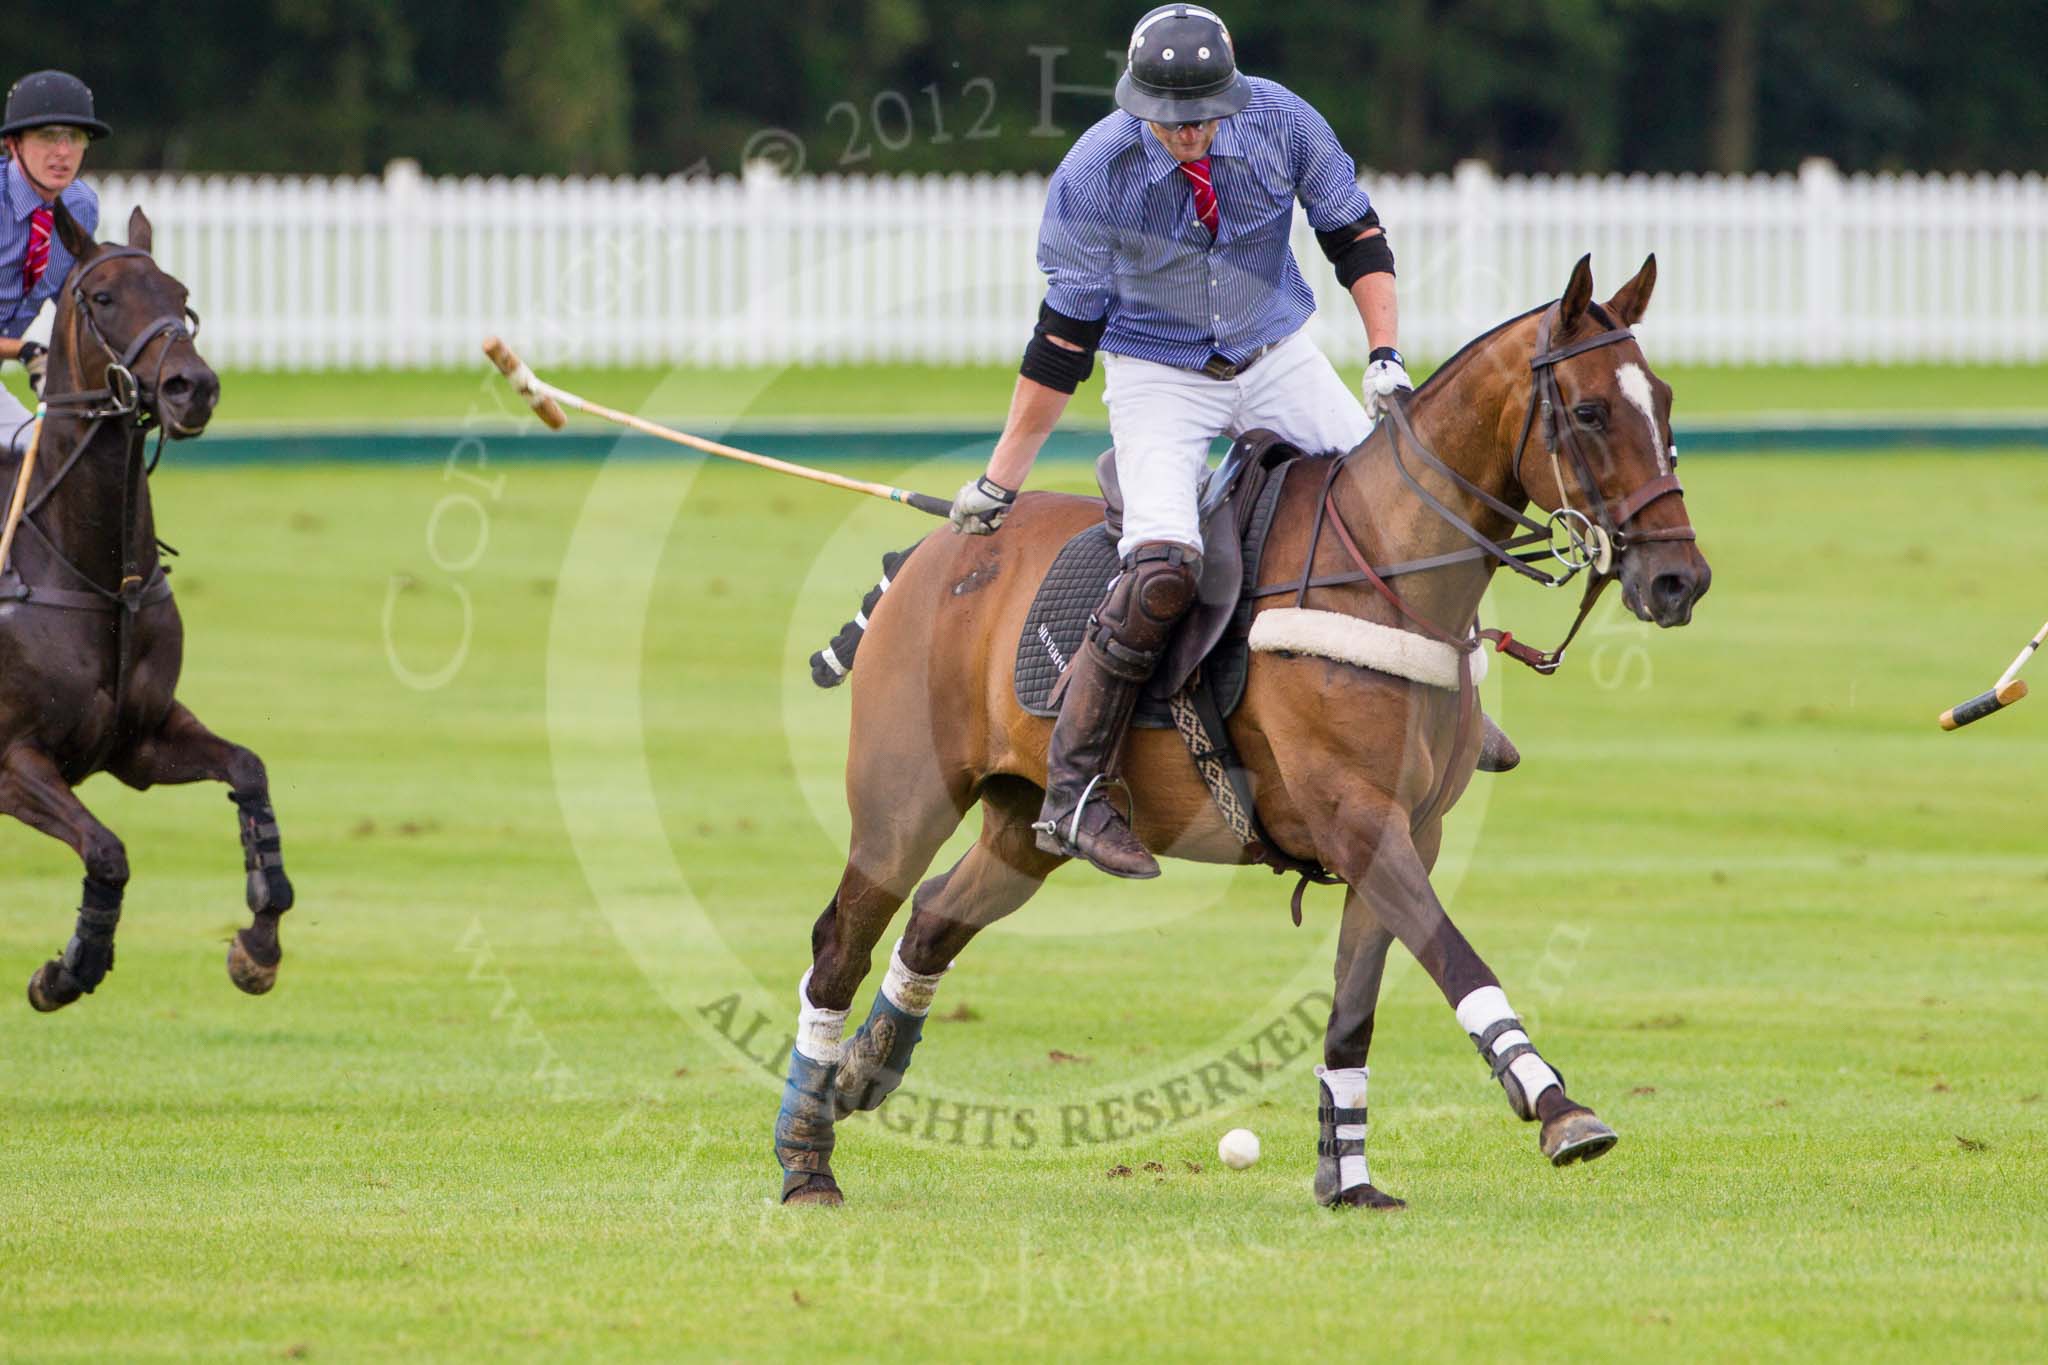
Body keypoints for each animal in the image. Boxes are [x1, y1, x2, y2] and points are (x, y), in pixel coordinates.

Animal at [0, 205, 296, 1015]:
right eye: (101, 298)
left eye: (180, 293)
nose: (193, 387)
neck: (101, 577)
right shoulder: (10, 756)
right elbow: (107, 850)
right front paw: (67, 969)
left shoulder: (139, 741)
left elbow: (250, 769)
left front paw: (258, 944)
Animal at [774, 255, 1703, 1203]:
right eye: (1589, 412)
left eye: (1664, 402)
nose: (1680, 579)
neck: (1387, 571)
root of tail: (928, 554)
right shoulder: (1358, 817)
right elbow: (1456, 957)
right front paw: (1558, 1106)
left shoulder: (1412, 830)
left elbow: (1352, 1012)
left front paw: (1349, 1177)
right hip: (906, 799)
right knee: (839, 942)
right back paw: (807, 1159)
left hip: (1023, 823)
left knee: (933, 916)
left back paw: (865, 1070)